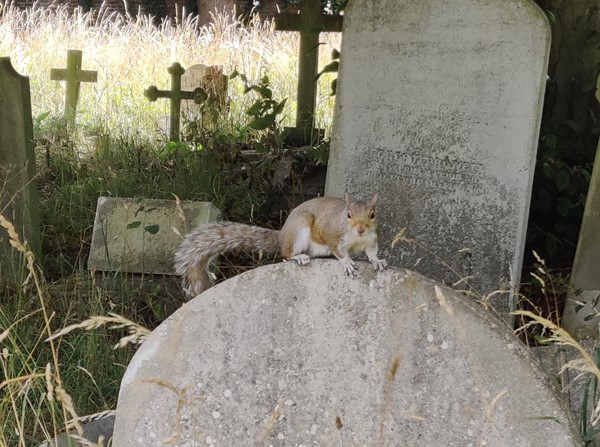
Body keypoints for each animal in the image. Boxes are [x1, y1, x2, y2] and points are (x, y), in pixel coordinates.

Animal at [173, 194, 390, 300]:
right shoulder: (333, 235)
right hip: (299, 232)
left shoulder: (372, 240)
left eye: (372, 214)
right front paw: (346, 262)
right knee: (286, 255)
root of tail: (283, 235)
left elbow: (372, 253)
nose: (360, 229)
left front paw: (377, 261)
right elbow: (339, 251)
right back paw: (299, 257)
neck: (357, 238)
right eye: (348, 214)